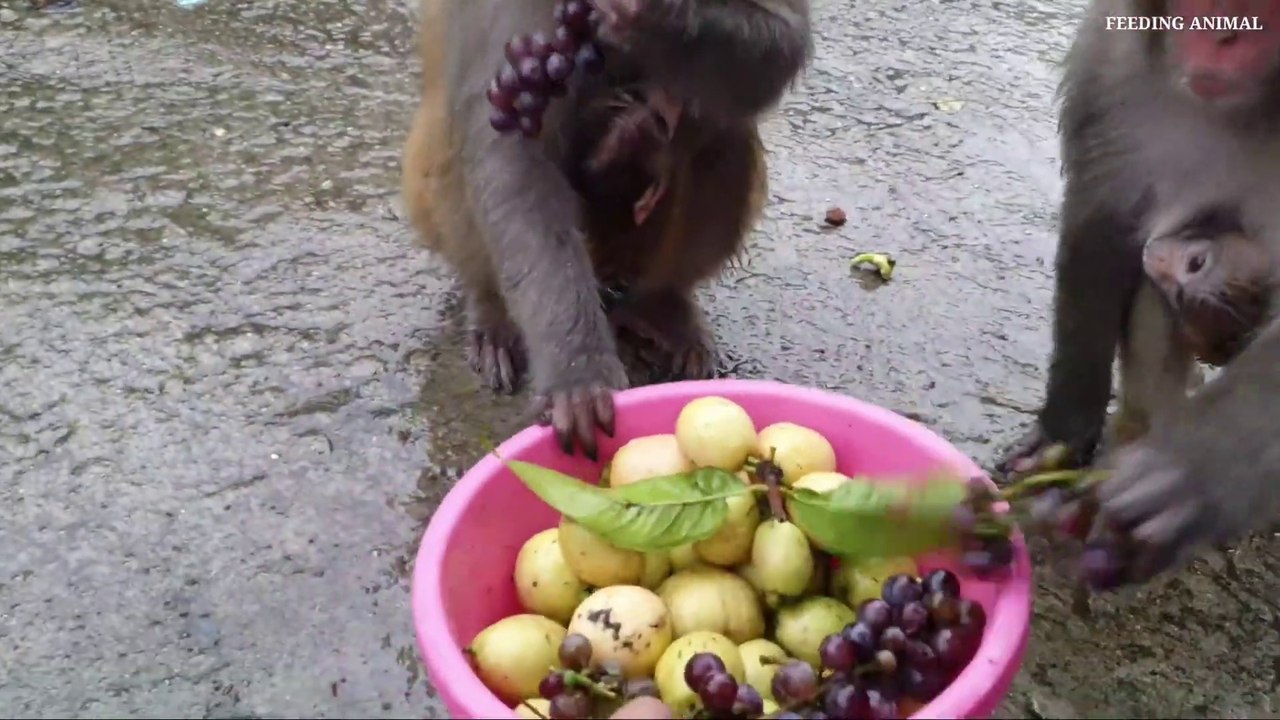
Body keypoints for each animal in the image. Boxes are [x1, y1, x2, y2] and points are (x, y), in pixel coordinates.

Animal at [401, 0, 811, 459]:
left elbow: (786, 39)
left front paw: (654, 19)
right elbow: (513, 152)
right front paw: (578, 376)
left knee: (721, 125)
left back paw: (659, 299)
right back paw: (492, 310)